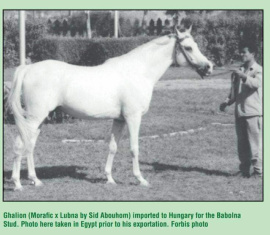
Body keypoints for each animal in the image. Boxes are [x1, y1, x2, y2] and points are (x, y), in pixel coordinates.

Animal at [8, 27, 212, 191]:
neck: (138, 71)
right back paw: (17, 184)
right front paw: (140, 179)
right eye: (188, 48)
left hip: (39, 119)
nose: (209, 67)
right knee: (20, 144)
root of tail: (28, 69)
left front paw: (109, 179)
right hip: (34, 118)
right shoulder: (133, 117)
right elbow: (134, 148)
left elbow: (113, 147)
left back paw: (35, 180)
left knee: (30, 145)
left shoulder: (119, 119)